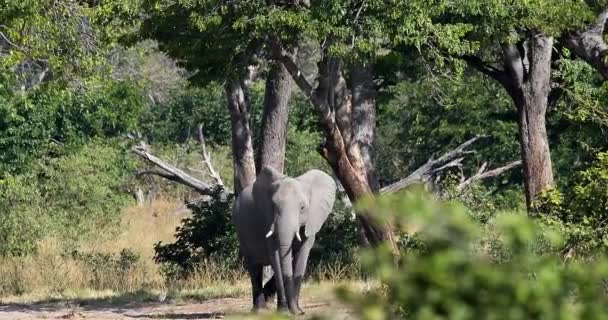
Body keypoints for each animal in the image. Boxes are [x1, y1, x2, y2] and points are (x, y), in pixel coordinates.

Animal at [233, 166, 338, 314]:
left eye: (302, 208)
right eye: (274, 206)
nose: (300, 312)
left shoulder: (311, 221)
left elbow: (302, 257)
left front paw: (297, 310)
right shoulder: (268, 220)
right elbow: (276, 258)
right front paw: (284, 311)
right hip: (240, 231)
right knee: (254, 269)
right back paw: (259, 310)